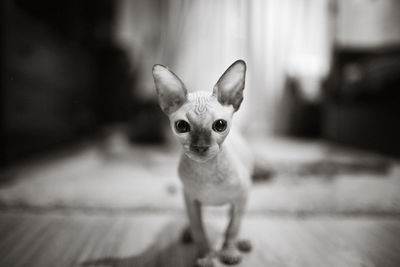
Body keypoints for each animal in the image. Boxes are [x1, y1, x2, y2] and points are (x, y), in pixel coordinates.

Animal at [153, 59, 253, 266]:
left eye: (220, 125)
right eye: (182, 126)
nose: (200, 146)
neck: (207, 173)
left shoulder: (243, 194)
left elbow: (233, 227)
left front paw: (228, 251)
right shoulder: (190, 198)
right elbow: (199, 230)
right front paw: (205, 256)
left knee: (233, 219)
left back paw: (240, 243)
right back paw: (187, 233)